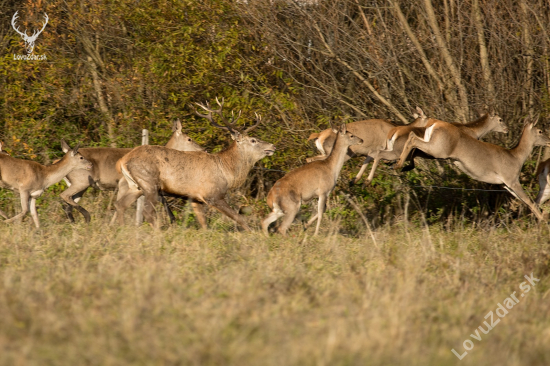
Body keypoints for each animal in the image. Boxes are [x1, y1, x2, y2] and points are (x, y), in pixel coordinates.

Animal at [113, 98, 276, 230]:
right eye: (253, 140)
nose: (273, 146)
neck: (227, 172)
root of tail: (123, 160)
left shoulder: (196, 198)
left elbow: (204, 224)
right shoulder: (213, 195)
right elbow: (240, 219)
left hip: (136, 186)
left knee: (120, 205)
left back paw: (123, 230)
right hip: (149, 181)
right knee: (147, 211)